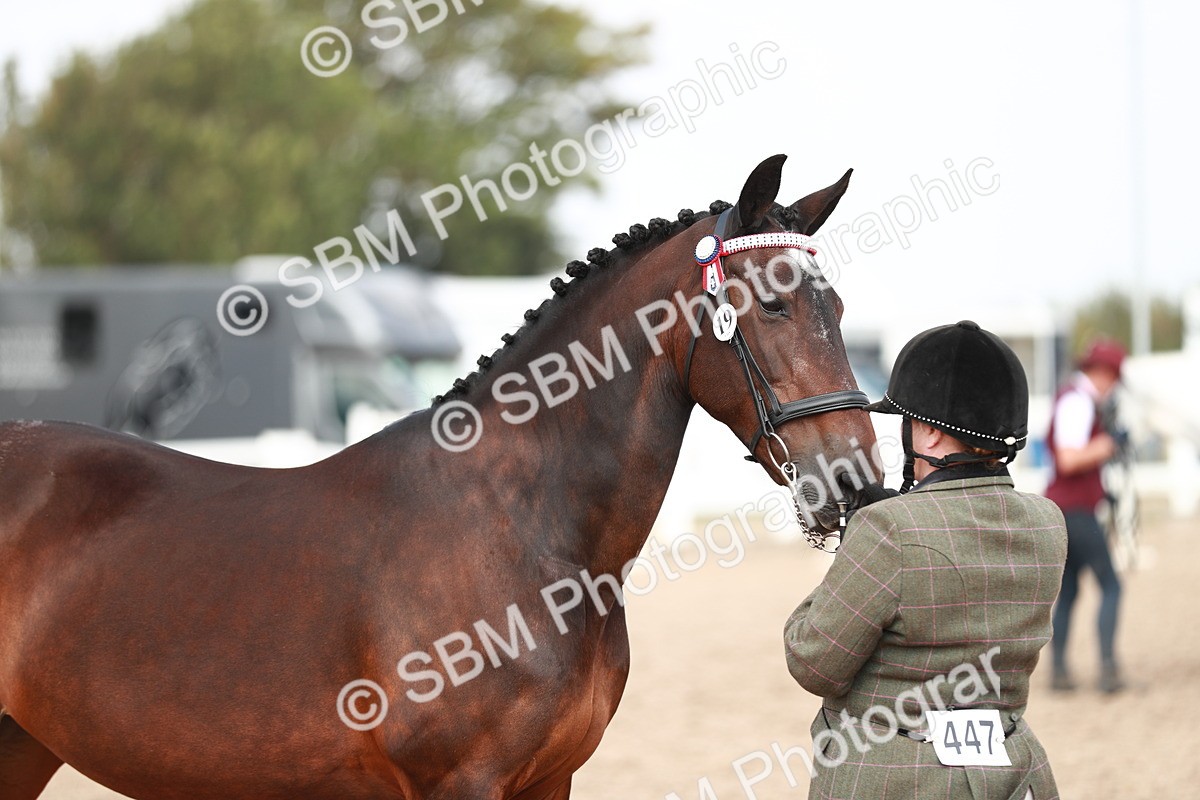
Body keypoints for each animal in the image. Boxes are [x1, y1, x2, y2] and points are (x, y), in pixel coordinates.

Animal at [0, 154, 879, 799]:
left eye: (837, 310)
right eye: (772, 306)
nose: (857, 481)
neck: (524, 534)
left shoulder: (549, 781)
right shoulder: (461, 782)